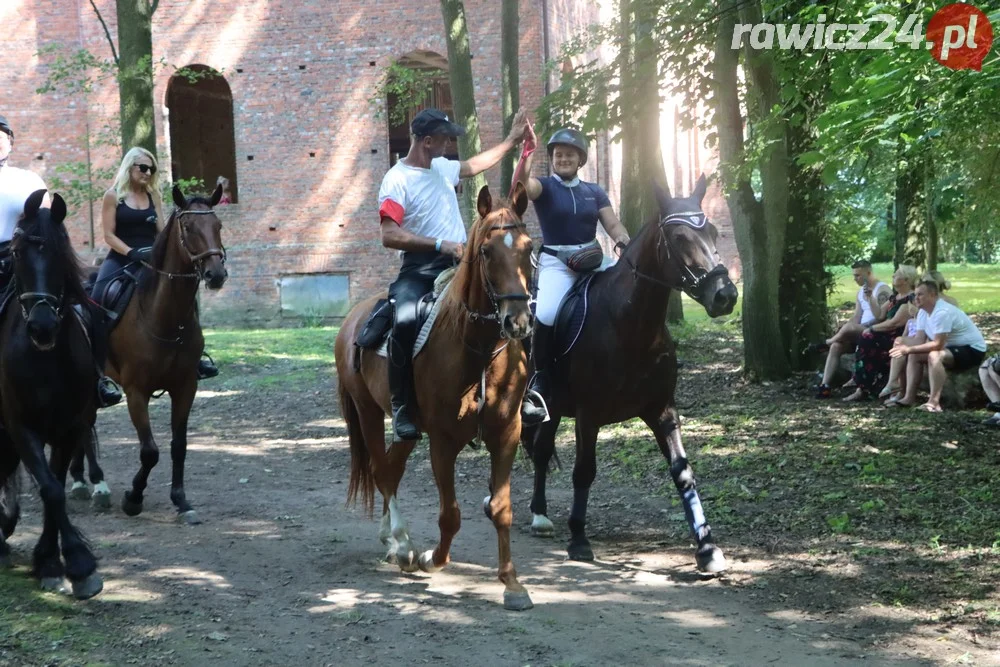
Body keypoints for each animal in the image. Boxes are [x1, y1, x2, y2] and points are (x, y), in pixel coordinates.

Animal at [108, 185, 228, 524]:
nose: (216, 274)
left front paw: (181, 500)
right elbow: (150, 451)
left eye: (218, 226)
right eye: (188, 227)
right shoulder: (136, 391)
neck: (165, 317)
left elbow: (179, 445)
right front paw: (133, 498)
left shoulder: (185, 386)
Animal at [336, 183, 540, 612]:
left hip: (409, 429)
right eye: (486, 251)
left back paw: (392, 538)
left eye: (529, 248)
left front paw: (512, 585)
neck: (477, 350)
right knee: (381, 470)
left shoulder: (507, 433)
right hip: (367, 412)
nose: (517, 321)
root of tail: (353, 319)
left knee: (391, 469)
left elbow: (501, 508)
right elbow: (450, 514)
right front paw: (433, 558)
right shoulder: (443, 441)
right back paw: (401, 544)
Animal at [520, 176, 740, 576]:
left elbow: (682, 471)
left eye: (714, 233)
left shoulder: (662, 410)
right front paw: (579, 539)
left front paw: (707, 548)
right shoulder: (589, 415)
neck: (630, 324)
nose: (725, 295)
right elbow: (584, 471)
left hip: (553, 406)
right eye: (680, 237)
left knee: (541, 450)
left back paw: (540, 515)